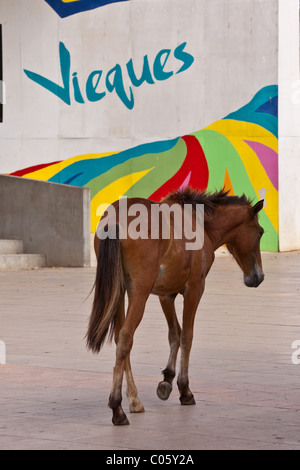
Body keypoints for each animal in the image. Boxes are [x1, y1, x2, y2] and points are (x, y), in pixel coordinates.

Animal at [85, 188, 264, 426]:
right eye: (260, 232)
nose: (258, 276)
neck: (201, 223)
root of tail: (115, 220)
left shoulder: (165, 294)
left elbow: (174, 333)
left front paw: (167, 380)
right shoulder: (195, 289)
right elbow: (187, 335)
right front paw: (184, 389)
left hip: (120, 291)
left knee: (120, 339)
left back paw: (134, 400)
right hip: (139, 292)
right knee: (125, 337)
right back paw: (117, 409)